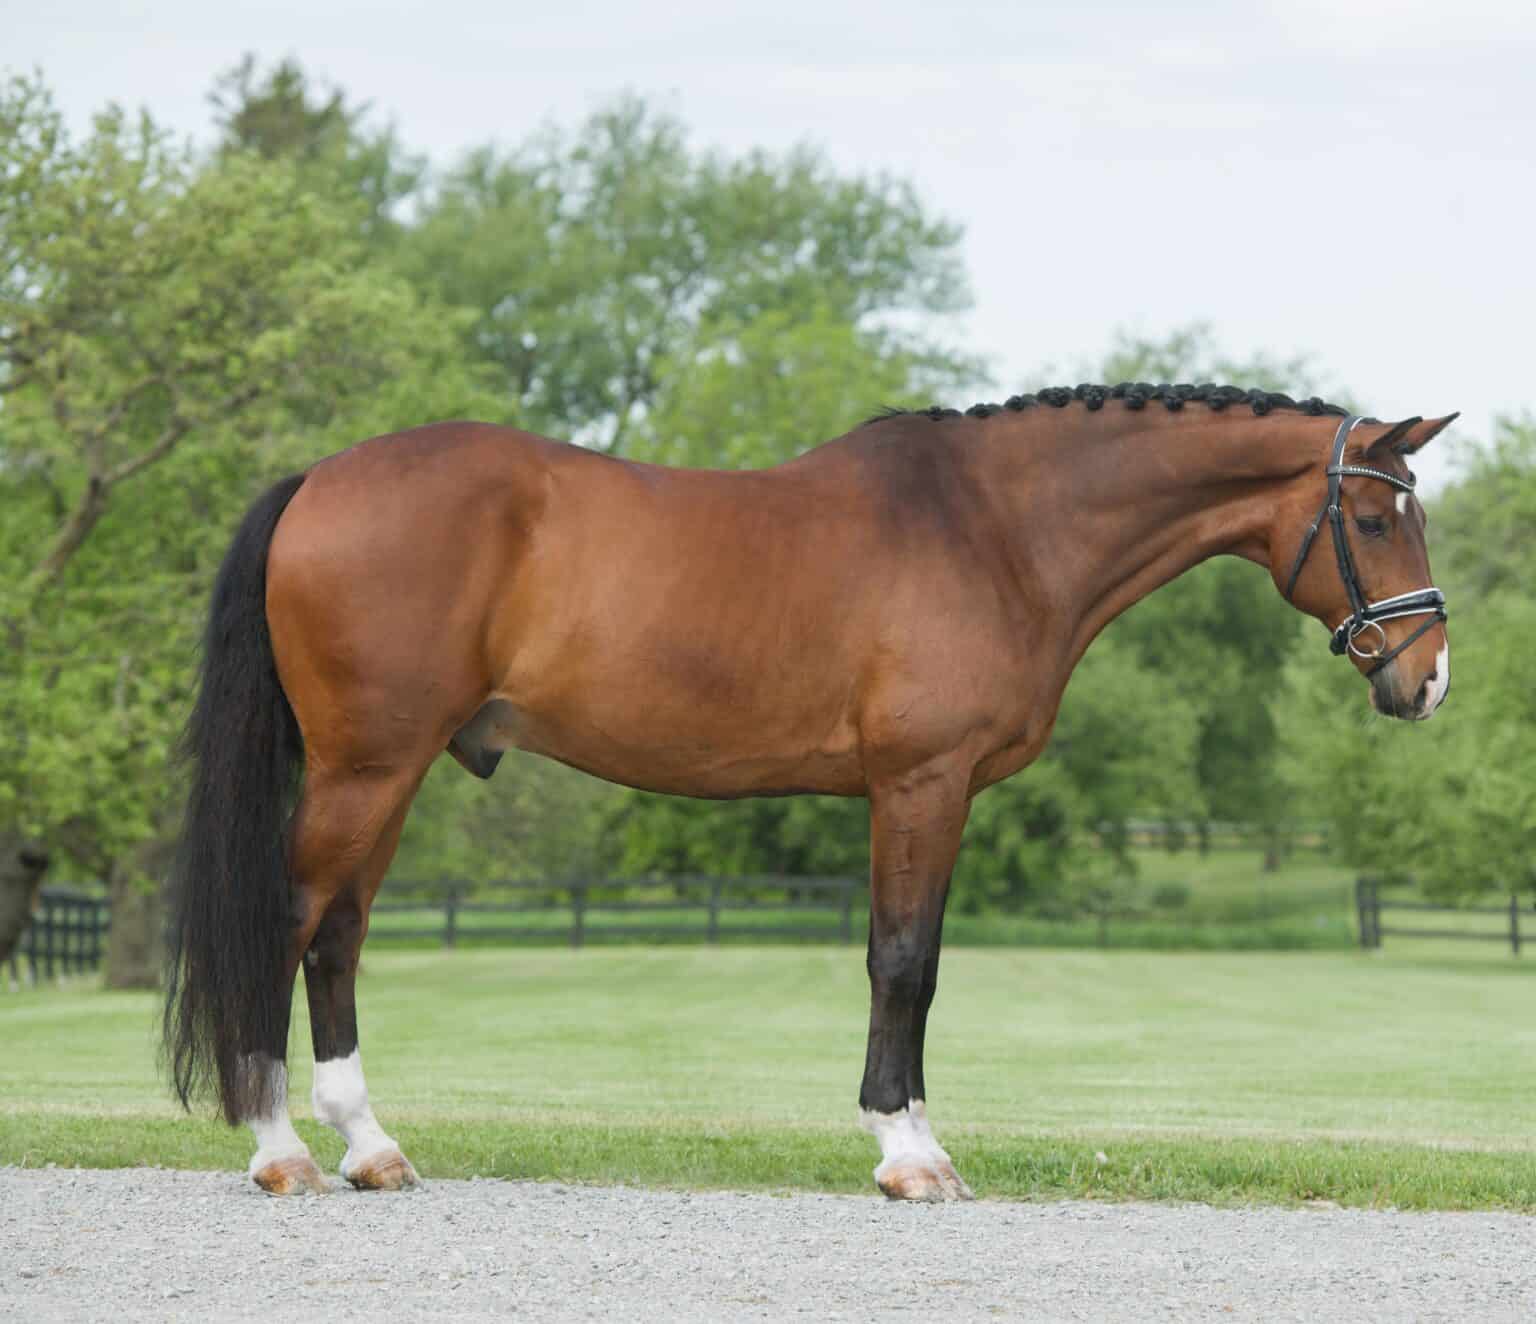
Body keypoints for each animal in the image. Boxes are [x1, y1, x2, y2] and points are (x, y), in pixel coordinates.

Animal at [162, 382, 1454, 1200]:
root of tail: (318, 479)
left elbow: (920, 962)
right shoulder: (921, 783)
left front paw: (918, 1134)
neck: (996, 529)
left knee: (337, 938)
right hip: (367, 768)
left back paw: (372, 1148)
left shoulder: (940, 793)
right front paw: (908, 1153)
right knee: (290, 925)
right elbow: (902, 961)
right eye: (1374, 514)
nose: (1427, 678)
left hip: (388, 773)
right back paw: (281, 1152)